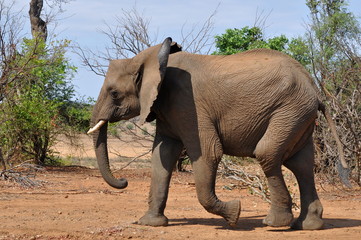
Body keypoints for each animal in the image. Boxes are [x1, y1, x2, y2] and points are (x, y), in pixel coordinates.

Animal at [88, 37, 346, 231]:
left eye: (114, 93)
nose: (124, 181)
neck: (154, 59)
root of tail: (314, 88)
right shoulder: (168, 109)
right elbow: (162, 156)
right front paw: (149, 224)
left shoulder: (188, 104)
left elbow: (208, 153)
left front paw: (234, 214)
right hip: (299, 115)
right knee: (301, 164)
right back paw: (308, 226)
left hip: (289, 110)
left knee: (268, 153)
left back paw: (275, 224)